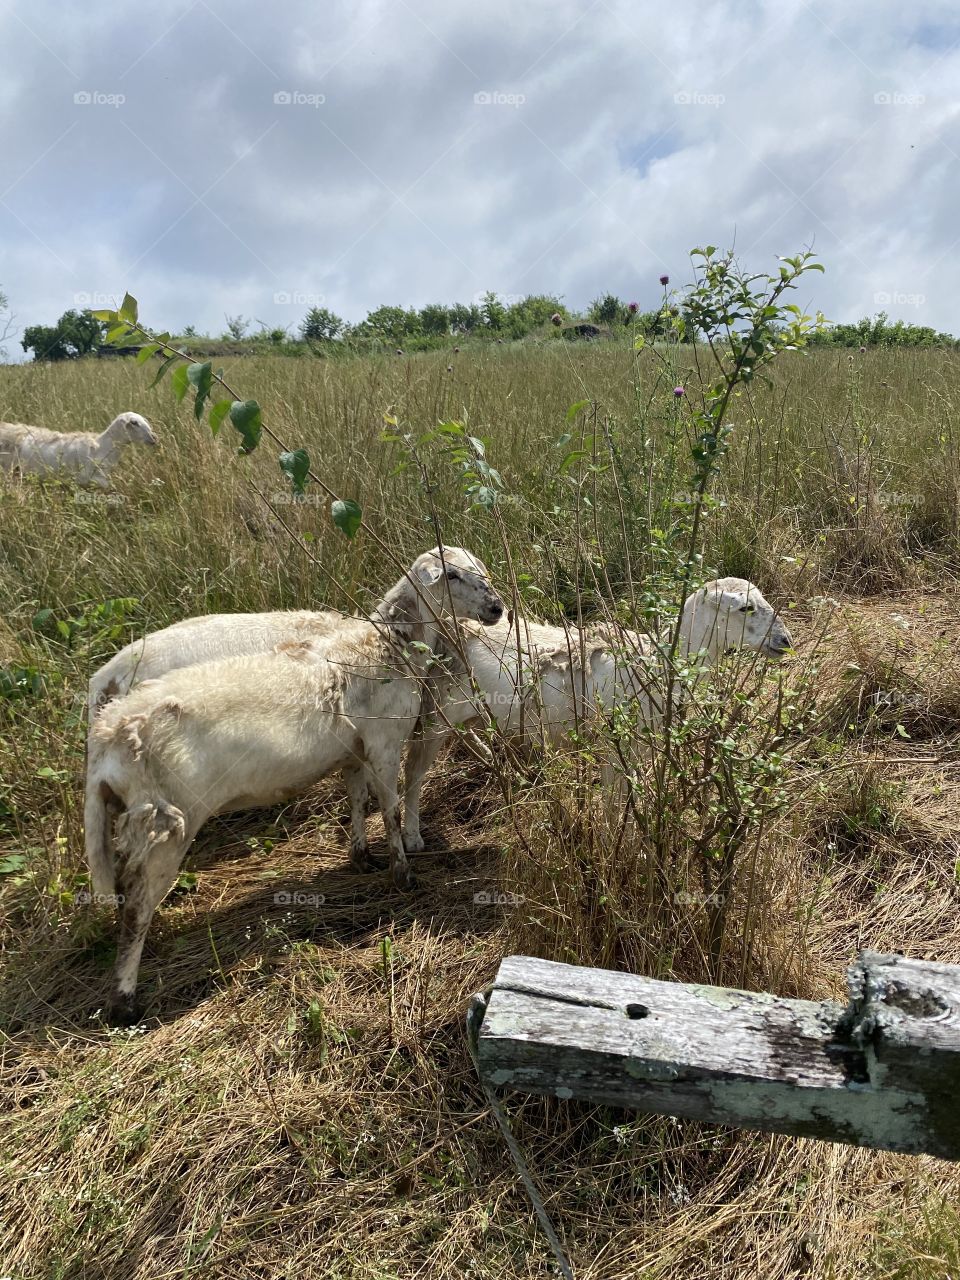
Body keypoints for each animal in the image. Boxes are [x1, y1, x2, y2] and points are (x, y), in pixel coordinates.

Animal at [84, 545, 504, 1024]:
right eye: (451, 575)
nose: (497, 608)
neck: (386, 645)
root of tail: (107, 735)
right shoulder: (383, 742)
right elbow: (391, 810)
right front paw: (403, 875)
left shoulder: (353, 749)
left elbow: (358, 800)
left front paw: (362, 857)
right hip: (168, 820)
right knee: (137, 901)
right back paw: (125, 1000)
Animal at [401, 578, 793, 849]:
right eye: (745, 609)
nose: (786, 641)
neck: (657, 662)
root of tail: (447, 627)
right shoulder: (614, 749)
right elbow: (612, 805)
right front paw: (614, 845)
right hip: (435, 711)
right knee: (413, 772)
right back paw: (412, 835)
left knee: (467, 734)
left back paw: (503, 768)